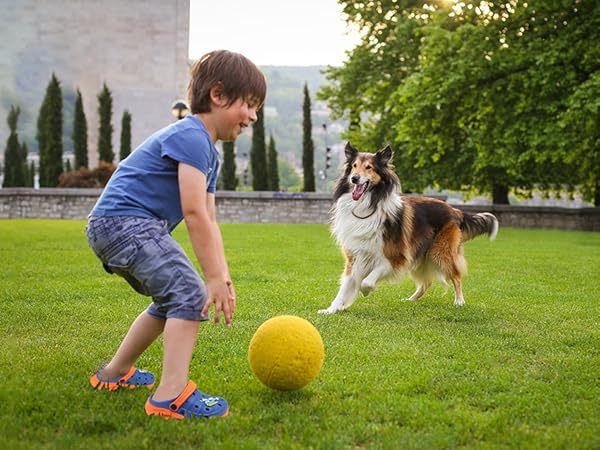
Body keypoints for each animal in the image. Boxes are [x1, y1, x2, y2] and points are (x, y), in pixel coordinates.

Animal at [316, 142, 500, 314]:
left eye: (369, 167)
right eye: (354, 165)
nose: (354, 178)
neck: (368, 205)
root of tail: (454, 210)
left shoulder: (395, 257)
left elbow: (366, 280)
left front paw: (365, 291)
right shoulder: (355, 256)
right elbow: (345, 287)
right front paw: (331, 309)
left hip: (440, 253)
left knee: (456, 275)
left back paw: (459, 301)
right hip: (419, 256)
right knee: (427, 282)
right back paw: (410, 300)